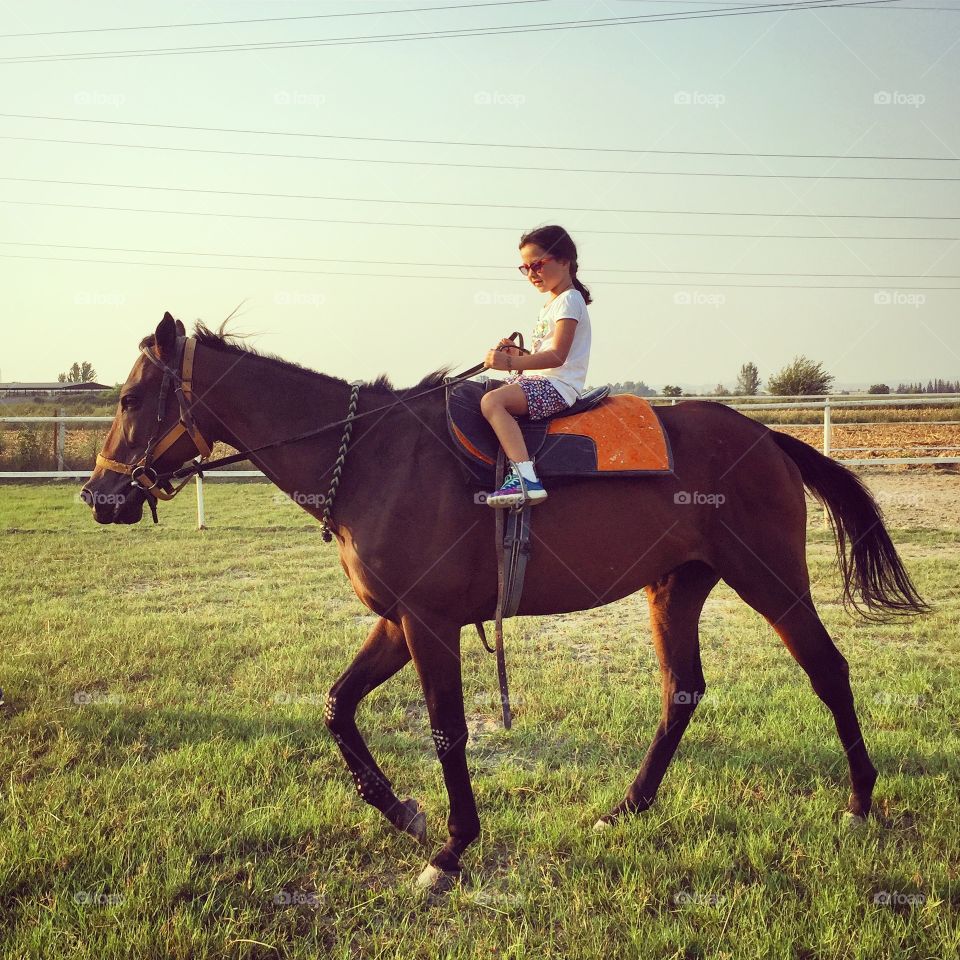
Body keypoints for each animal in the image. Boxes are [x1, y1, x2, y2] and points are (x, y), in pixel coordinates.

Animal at [81, 312, 929, 893]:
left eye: (131, 396)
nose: (98, 496)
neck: (372, 458)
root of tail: (766, 437)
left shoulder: (428, 624)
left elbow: (448, 732)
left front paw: (451, 851)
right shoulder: (398, 621)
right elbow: (336, 707)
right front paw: (404, 812)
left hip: (771, 582)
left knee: (828, 671)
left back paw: (859, 802)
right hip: (676, 587)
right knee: (681, 693)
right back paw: (628, 806)